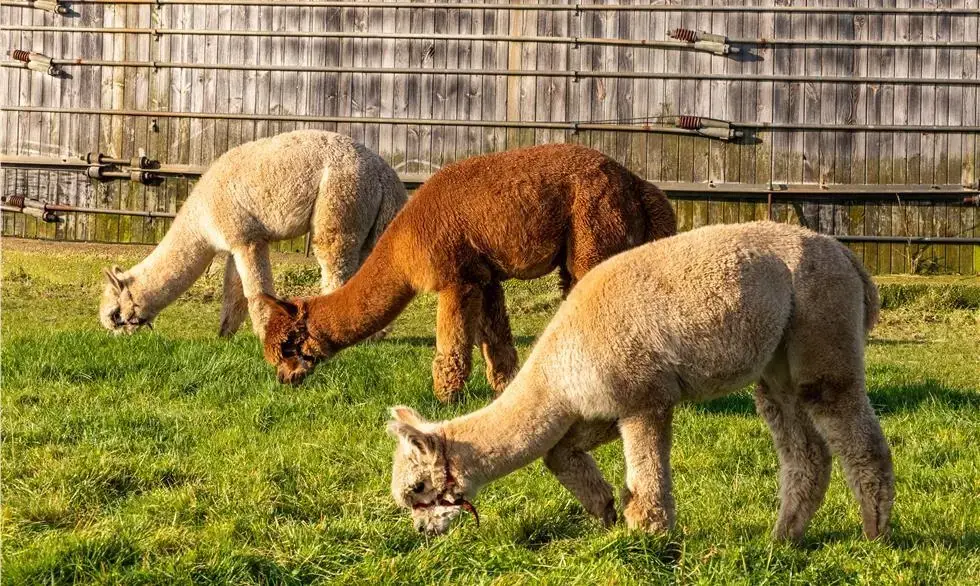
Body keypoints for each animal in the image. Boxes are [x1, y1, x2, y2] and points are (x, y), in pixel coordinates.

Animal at [98, 130, 406, 339]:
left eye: (115, 315)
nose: (117, 338)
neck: (201, 218)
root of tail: (385, 173)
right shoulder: (234, 242)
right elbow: (234, 292)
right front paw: (224, 335)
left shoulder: (246, 237)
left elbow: (256, 290)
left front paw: (264, 335)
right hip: (375, 222)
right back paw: (375, 335)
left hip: (340, 202)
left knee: (335, 264)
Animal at [258, 143, 676, 400]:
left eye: (288, 347)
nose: (283, 378)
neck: (404, 246)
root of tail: (637, 185)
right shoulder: (485, 277)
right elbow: (497, 342)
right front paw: (504, 390)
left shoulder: (456, 278)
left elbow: (454, 344)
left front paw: (445, 398)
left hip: (595, 234)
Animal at [387, 221, 894, 542]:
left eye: (417, 490)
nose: (422, 531)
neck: (558, 376)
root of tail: (849, 257)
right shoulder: (602, 403)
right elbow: (558, 453)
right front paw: (606, 510)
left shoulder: (643, 397)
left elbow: (647, 477)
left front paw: (648, 536)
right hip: (778, 365)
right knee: (806, 452)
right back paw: (783, 539)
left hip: (822, 326)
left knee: (853, 429)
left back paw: (875, 533)